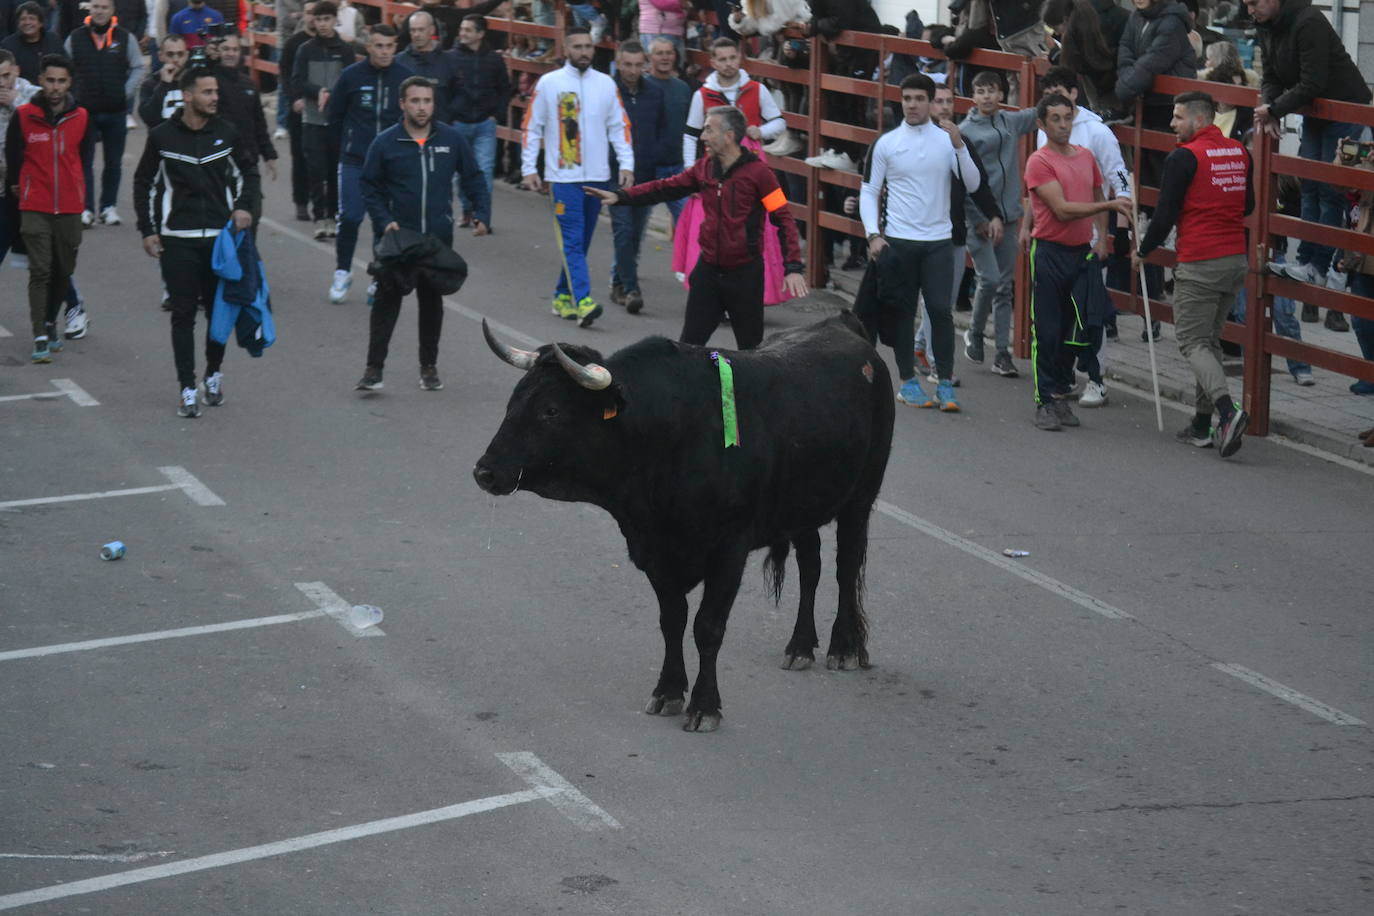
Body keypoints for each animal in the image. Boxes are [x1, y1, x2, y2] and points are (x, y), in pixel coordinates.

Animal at [472, 311, 895, 736]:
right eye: (514, 400)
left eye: (551, 410)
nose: (485, 472)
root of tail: (841, 323)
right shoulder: (655, 552)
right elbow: (672, 621)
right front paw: (669, 691)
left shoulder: (728, 551)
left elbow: (707, 627)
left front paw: (705, 706)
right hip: (803, 506)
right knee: (811, 566)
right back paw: (800, 646)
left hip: (860, 497)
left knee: (845, 567)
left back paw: (844, 647)